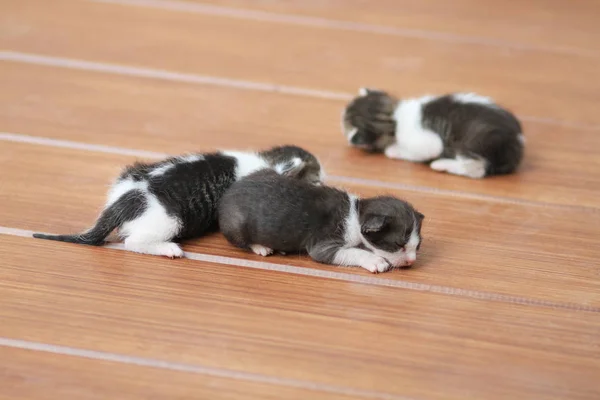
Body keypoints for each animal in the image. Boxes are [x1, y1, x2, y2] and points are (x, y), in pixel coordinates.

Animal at [32, 145, 324, 258]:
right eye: (317, 181)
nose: (324, 183)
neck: (265, 162)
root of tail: (123, 199)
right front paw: (261, 246)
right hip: (169, 219)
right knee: (132, 242)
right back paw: (168, 249)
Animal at [219, 167, 422, 274]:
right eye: (399, 245)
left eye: (417, 246)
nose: (411, 261)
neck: (356, 212)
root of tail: (227, 194)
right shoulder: (324, 245)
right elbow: (353, 251)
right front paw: (375, 260)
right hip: (237, 224)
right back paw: (262, 246)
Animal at [342, 89, 524, 180]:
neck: (394, 117)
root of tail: (517, 143)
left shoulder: (427, 142)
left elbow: (422, 151)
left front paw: (394, 150)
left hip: (477, 141)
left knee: (475, 169)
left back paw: (442, 164)